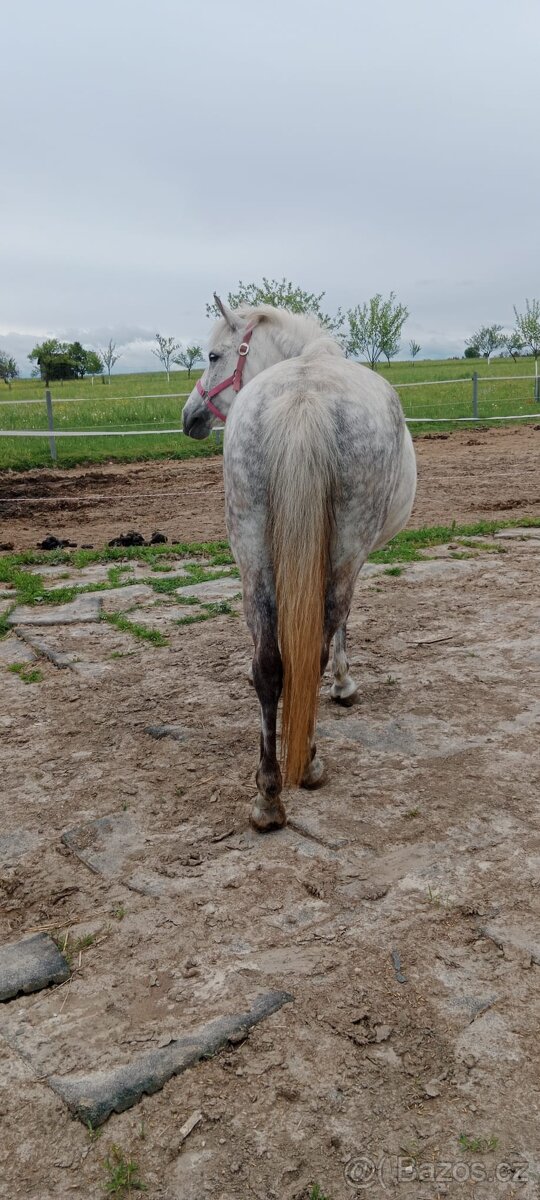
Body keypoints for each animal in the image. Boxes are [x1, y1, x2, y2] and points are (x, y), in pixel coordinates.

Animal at [182, 298, 417, 832]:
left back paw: (268, 796)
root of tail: (304, 397)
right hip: (344, 549)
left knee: (268, 666)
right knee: (316, 645)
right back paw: (307, 764)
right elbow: (341, 627)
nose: (190, 416)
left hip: (252, 557)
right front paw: (344, 685)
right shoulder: (353, 559)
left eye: (213, 355)